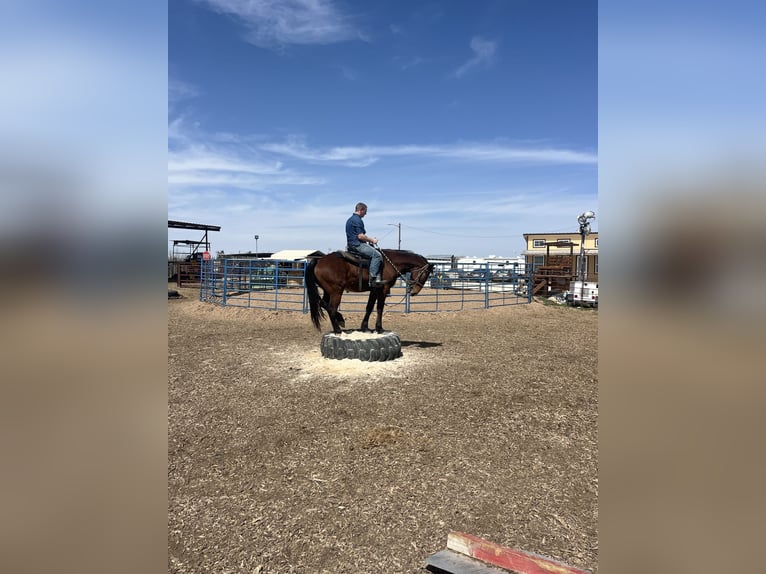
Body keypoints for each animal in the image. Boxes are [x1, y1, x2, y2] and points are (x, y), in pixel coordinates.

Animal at [305, 249, 434, 334]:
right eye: (425, 274)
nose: (415, 291)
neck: (389, 263)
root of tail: (319, 261)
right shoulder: (383, 289)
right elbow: (379, 308)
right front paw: (379, 328)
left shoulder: (374, 290)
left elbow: (369, 307)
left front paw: (365, 327)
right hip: (336, 292)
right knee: (331, 308)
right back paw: (338, 329)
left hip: (328, 291)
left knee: (323, 303)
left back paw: (340, 319)